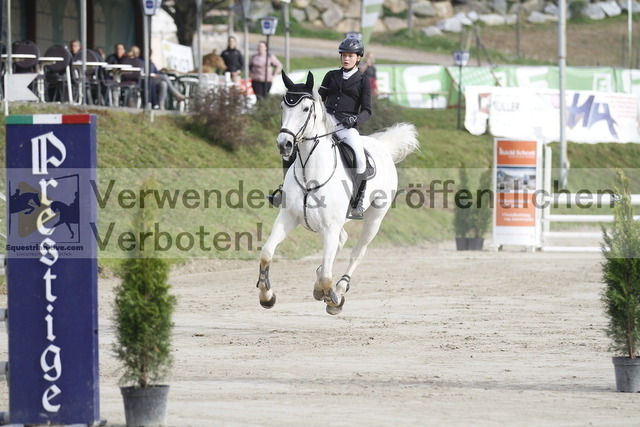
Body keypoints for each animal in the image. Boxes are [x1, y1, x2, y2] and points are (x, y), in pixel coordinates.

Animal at [256, 71, 419, 315]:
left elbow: (327, 276)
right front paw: (267, 296)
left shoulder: (330, 227)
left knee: (356, 252)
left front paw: (334, 299)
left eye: (306, 108)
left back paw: (340, 287)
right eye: (282, 106)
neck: (311, 172)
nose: (284, 144)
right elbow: (267, 252)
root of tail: (382, 147)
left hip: (374, 219)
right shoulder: (288, 217)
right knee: (340, 243)